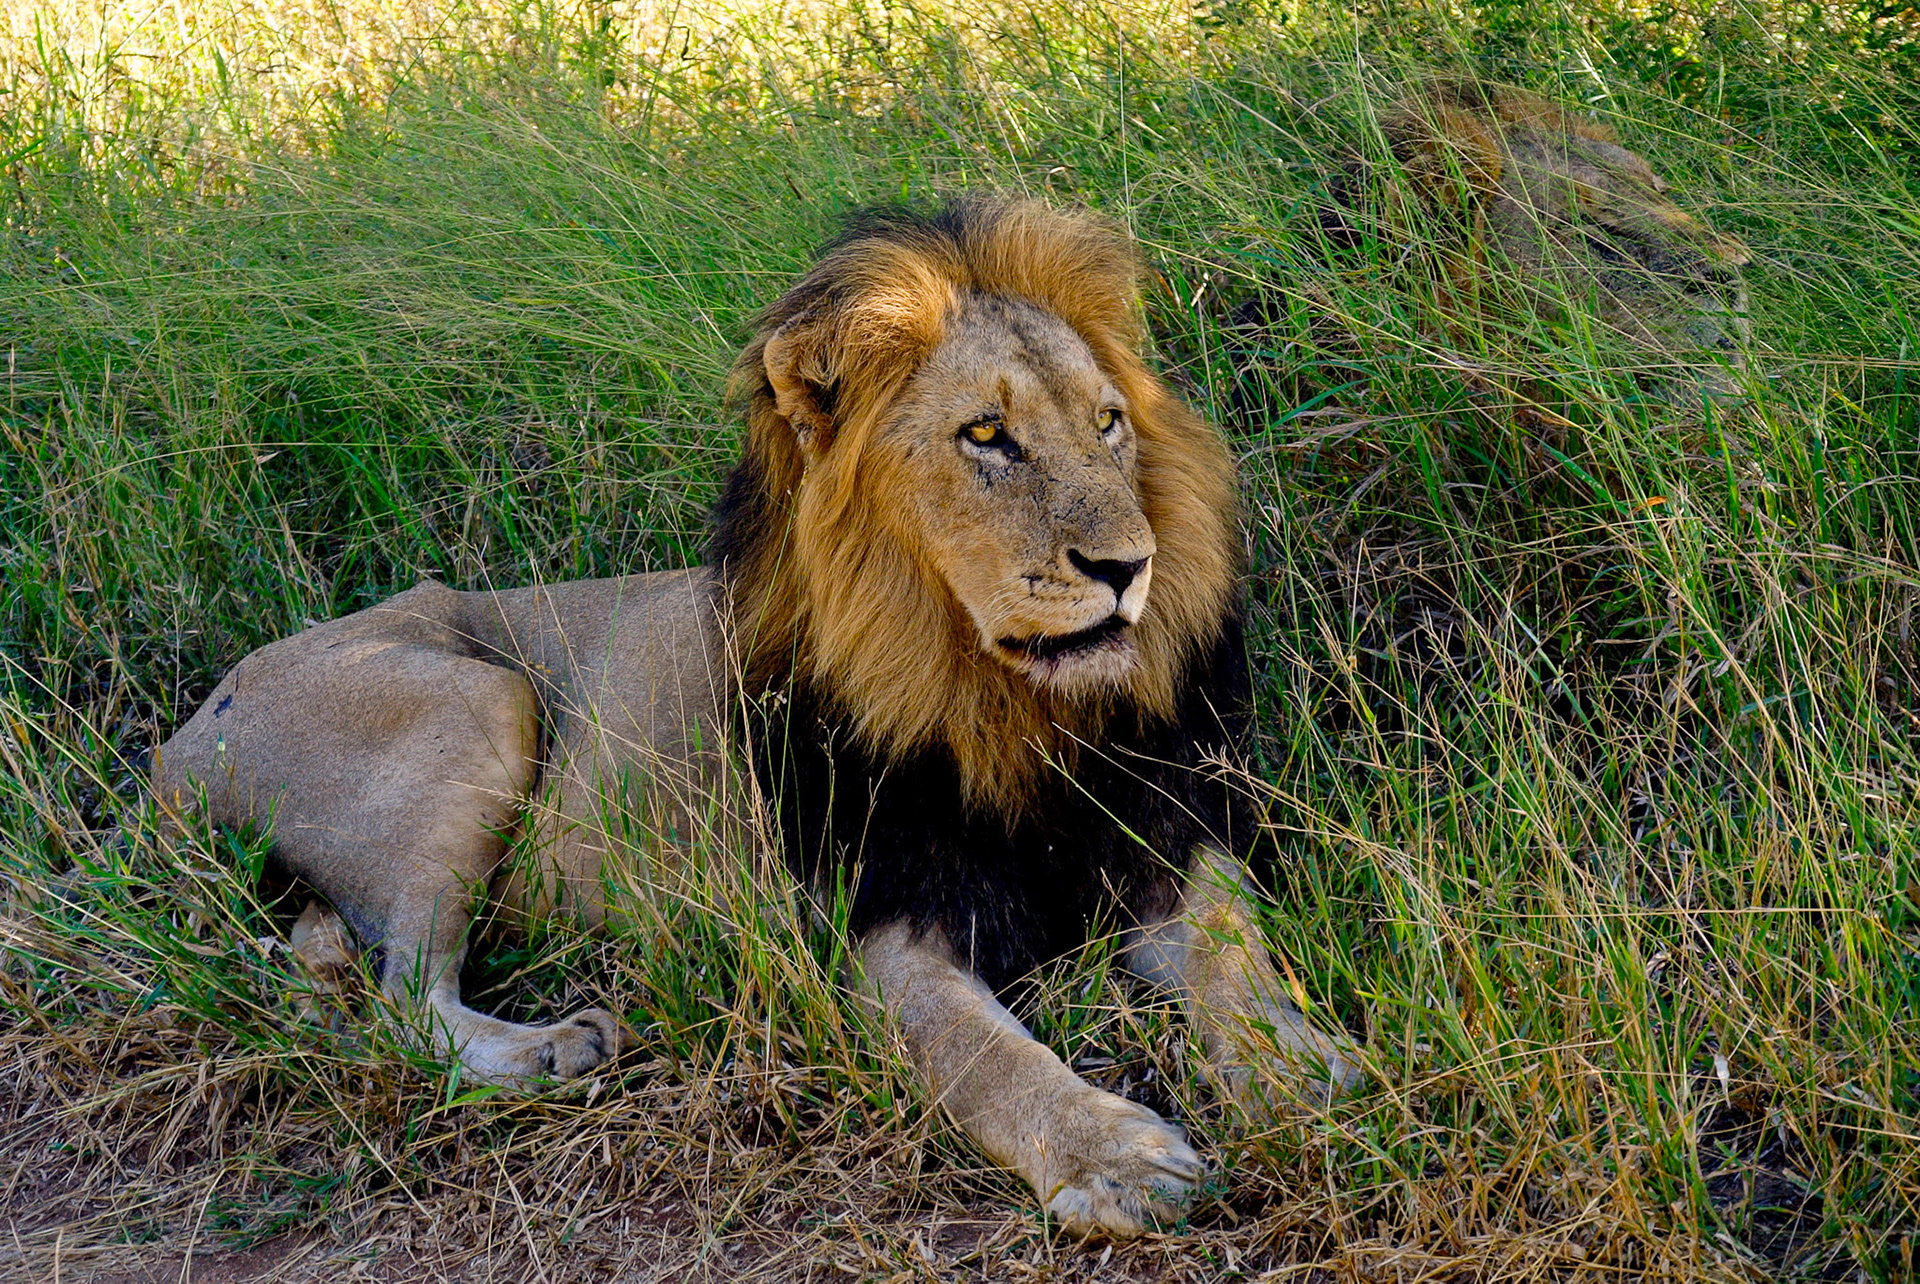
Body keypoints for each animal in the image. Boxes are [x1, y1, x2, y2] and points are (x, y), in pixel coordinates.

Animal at [149, 197, 1359, 1240]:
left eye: (1109, 425)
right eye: (985, 436)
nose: (1128, 567)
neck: (1008, 708)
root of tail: (176, 737)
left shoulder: (1169, 846)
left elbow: (1238, 961)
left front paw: (1306, 1072)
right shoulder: (877, 922)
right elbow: (980, 1052)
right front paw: (1112, 1155)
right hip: (483, 697)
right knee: (405, 1004)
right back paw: (556, 1051)